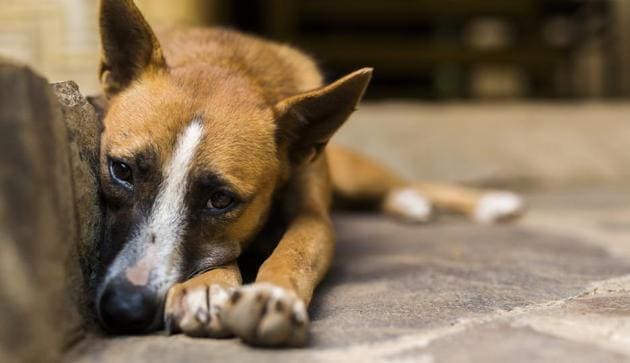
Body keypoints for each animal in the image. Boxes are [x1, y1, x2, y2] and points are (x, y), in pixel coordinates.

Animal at [94, 0, 524, 348]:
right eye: (122, 170)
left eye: (220, 200)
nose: (125, 308)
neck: (229, 64)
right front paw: (209, 286)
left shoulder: (314, 219)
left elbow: (295, 251)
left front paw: (271, 296)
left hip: (355, 174)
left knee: (406, 182)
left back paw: (479, 202)